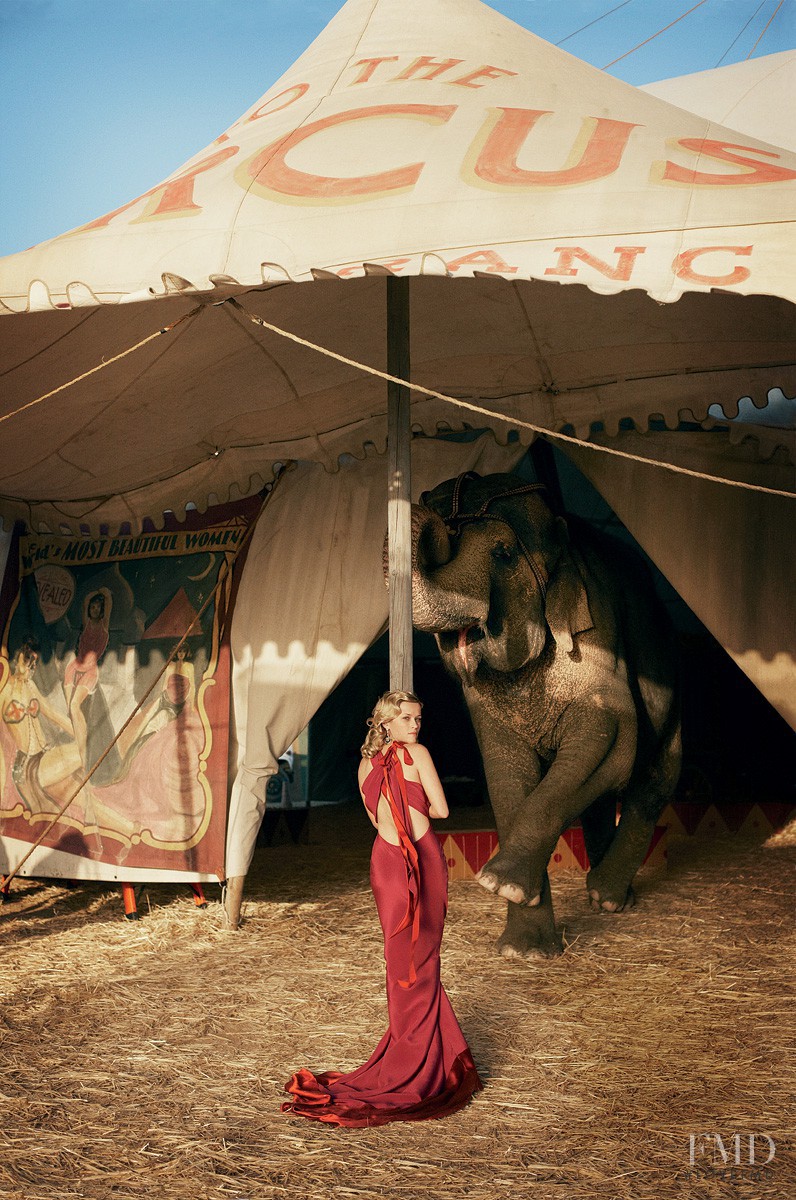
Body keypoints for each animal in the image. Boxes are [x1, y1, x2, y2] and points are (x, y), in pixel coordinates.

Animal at [413, 468, 681, 955]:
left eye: (502, 553)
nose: (430, 508)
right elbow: (505, 771)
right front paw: (524, 946)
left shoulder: (597, 635)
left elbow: (611, 737)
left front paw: (497, 883)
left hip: (668, 661)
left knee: (656, 774)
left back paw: (609, 898)